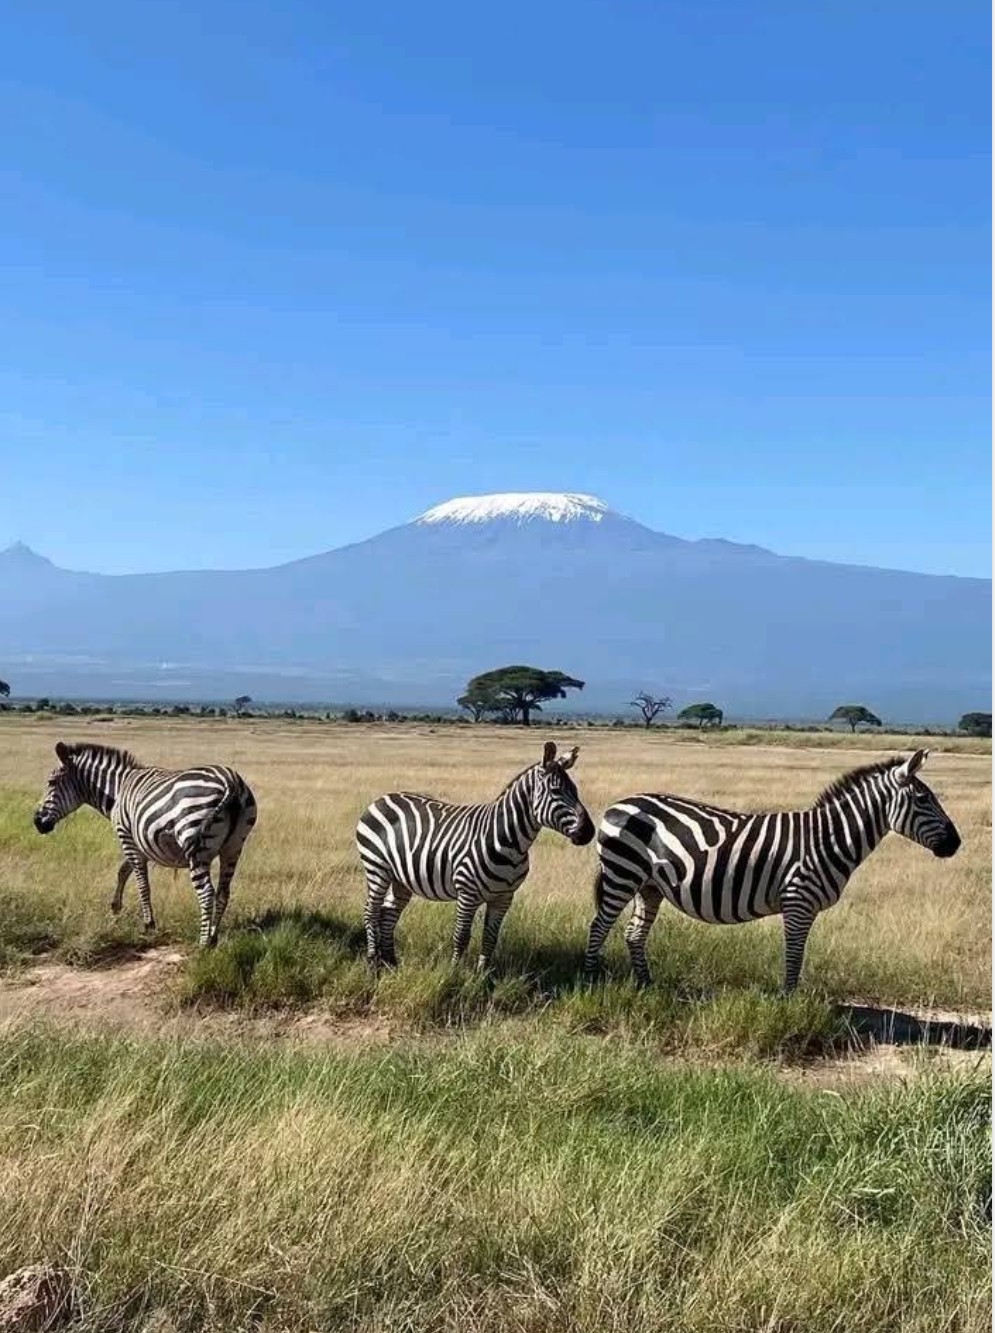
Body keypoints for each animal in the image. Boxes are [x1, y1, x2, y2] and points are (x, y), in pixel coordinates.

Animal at [33, 741, 258, 948]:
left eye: (51, 782)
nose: (37, 822)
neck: (118, 789)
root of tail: (231, 781)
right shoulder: (141, 843)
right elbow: (123, 871)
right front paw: (115, 907)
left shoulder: (126, 835)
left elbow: (142, 883)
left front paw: (149, 924)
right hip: (234, 847)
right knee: (223, 893)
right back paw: (213, 936)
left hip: (195, 844)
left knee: (206, 894)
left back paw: (203, 943)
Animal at [356, 741, 595, 971]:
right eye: (556, 791)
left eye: (575, 790)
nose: (589, 832)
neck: (511, 843)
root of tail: (382, 798)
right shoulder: (467, 893)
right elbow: (461, 936)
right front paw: (454, 973)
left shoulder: (504, 897)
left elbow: (490, 938)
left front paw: (483, 975)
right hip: (377, 868)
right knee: (371, 910)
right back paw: (372, 962)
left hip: (401, 878)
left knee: (389, 912)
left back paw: (390, 962)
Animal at [583, 749, 960, 992]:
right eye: (923, 799)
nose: (956, 843)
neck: (827, 839)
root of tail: (620, 803)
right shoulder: (798, 900)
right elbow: (794, 954)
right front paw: (788, 1001)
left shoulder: (803, 906)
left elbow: (797, 954)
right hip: (622, 874)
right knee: (598, 927)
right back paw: (590, 982)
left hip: (649, 886)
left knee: (634, 934)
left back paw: (646, 987)